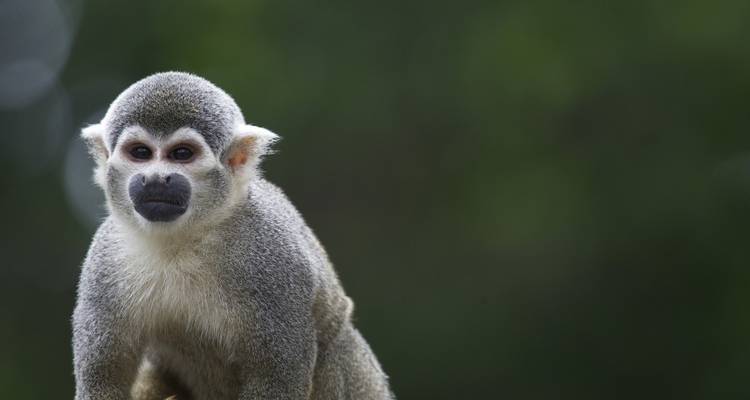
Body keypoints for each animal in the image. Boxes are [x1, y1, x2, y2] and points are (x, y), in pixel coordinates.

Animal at [72, 72, 394, 400]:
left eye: (182, 153)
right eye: (140, 152)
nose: (155, 179)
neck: (182, 240)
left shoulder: (273, 256)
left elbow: (277, 379)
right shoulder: (106, 258)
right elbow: (103, 382)